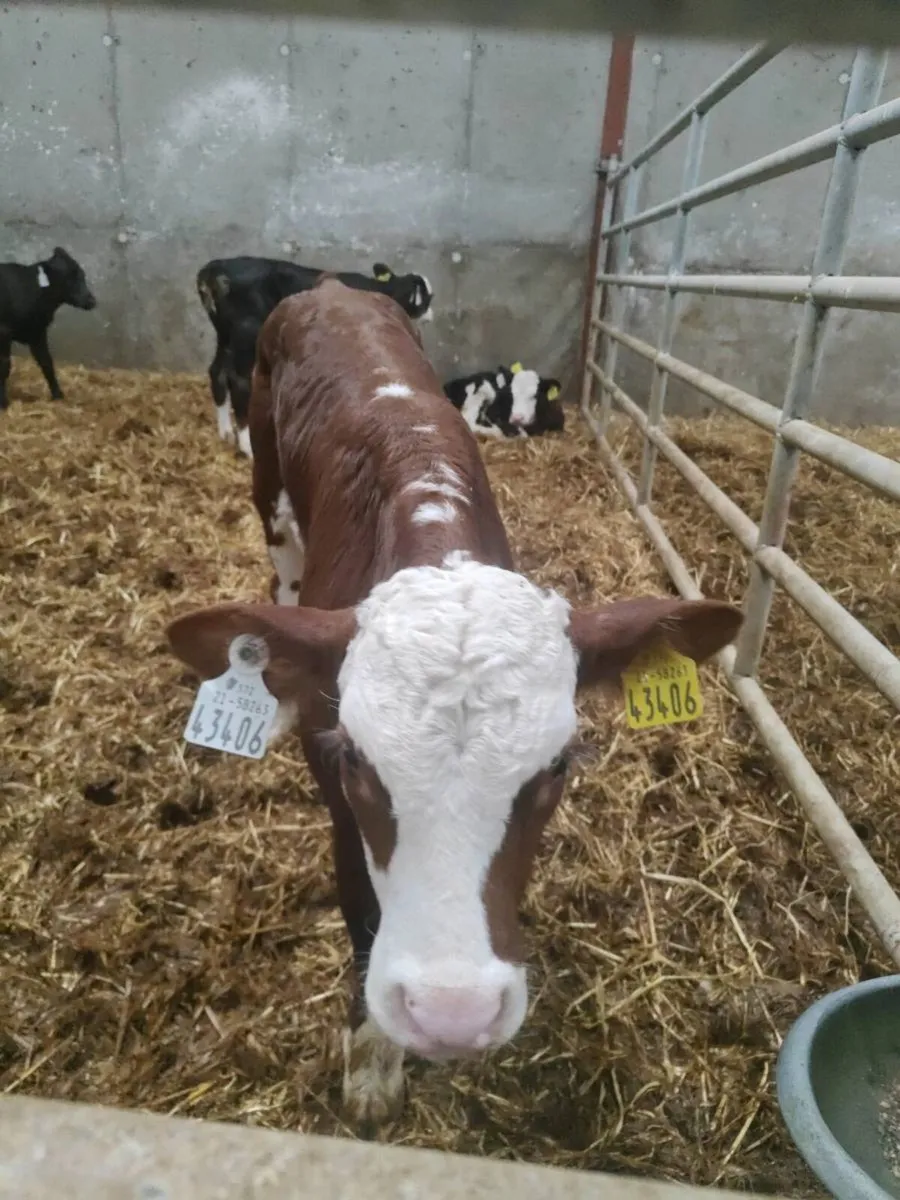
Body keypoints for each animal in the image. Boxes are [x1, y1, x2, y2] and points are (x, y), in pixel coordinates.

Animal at [0, 247, 97, 411]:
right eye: (69, 278)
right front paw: (3, 403)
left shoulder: (37, 333)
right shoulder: (4, 333)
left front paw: (58, 395)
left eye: (82, 275)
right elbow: (4, 365)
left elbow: (46, 362)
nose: (91, 301)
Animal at [166, 277, 742, 1127]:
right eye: (355, 762)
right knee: (280, 579)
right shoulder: (340, 805)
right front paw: (374, 1062)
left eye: (558, 766)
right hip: (267, 484)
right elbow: (364, 912)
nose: (453, 1013)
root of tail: (330, 288)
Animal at [196, 255, 434, 456]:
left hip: (226, 335)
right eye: (423, 300)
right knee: (238, 383)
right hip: (246, 335)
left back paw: (225, 432)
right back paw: (247, 446)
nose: (430, 317)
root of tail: (215, 267)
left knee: (217, 371)